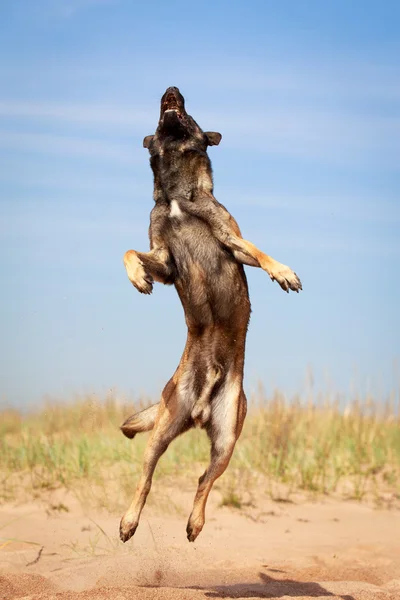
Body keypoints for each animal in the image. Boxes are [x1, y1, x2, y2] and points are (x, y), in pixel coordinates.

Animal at [120, 85, 302, 544]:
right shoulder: (165, 260)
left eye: (190, 113)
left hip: (226, 440)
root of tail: (200, 409)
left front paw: (283, 272)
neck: (176, 196)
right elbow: (130, 251)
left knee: (204, 480)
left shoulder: (230, 241)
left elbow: (259, 251)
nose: (172, 89)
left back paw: (195, 522)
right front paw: (137, 278)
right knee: (146, 478)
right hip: (164, 429)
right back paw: (129, 521)